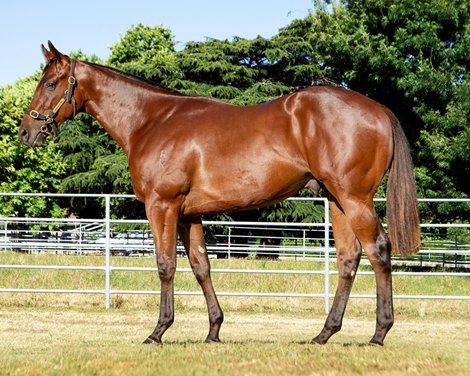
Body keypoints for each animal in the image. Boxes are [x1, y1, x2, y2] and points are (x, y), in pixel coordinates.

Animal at [20, 41, 420, 346]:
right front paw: (214, 330)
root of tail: (379, 110)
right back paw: (325, 333)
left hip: (354, 200)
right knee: (348, 259)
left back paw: (379, 333)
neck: (152, 121)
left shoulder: (162, 207)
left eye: (51, 83)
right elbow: (201, 266)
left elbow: (166, 265)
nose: (26, 131)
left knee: (378, 251)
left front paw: (158, 331)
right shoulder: (189, 214)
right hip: (337, 201)